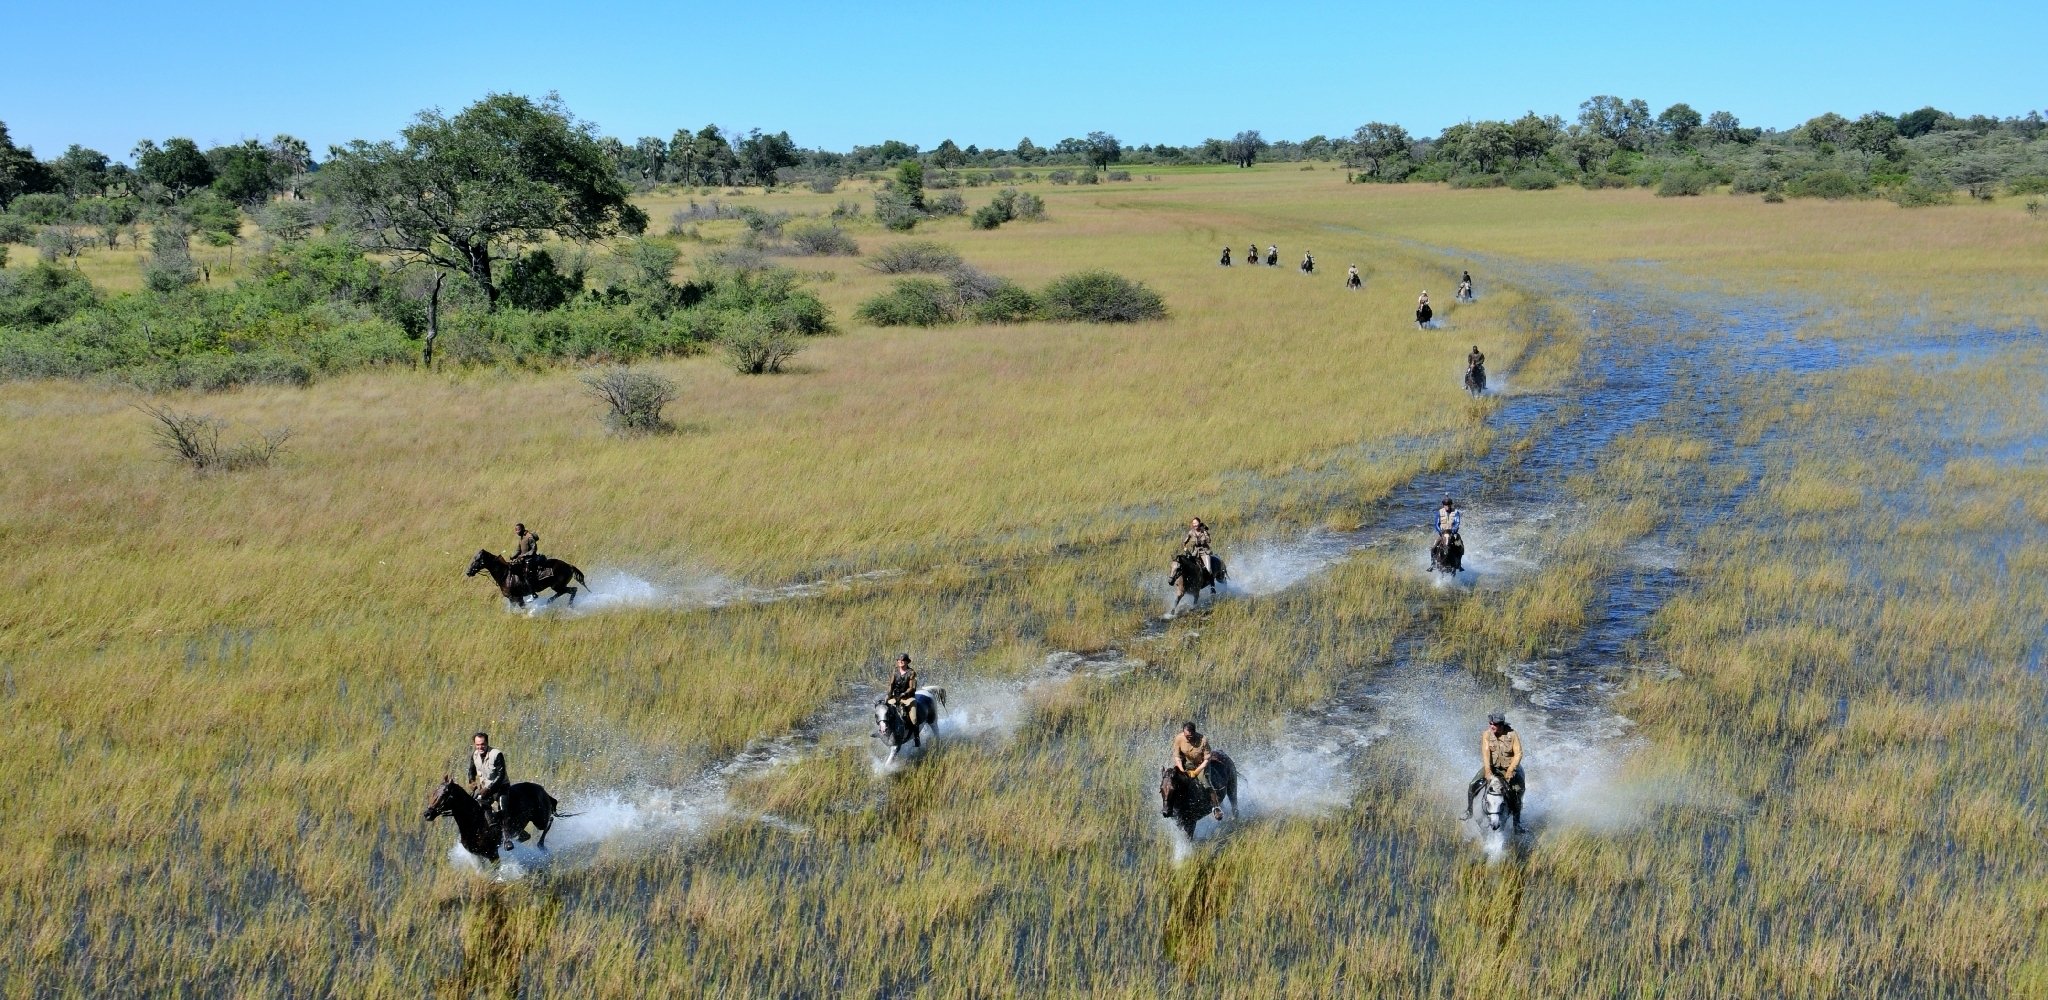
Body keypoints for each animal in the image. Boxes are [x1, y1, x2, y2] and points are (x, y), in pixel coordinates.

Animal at [422, 778, 573, 863]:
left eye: (444, 794)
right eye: (434, 792)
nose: (427, 814)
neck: (475, 820)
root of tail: (542, 789)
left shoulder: (492, 854)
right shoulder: (477, 855)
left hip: (540, 820)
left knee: (549, 821)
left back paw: (541, 845)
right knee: (525, 835)